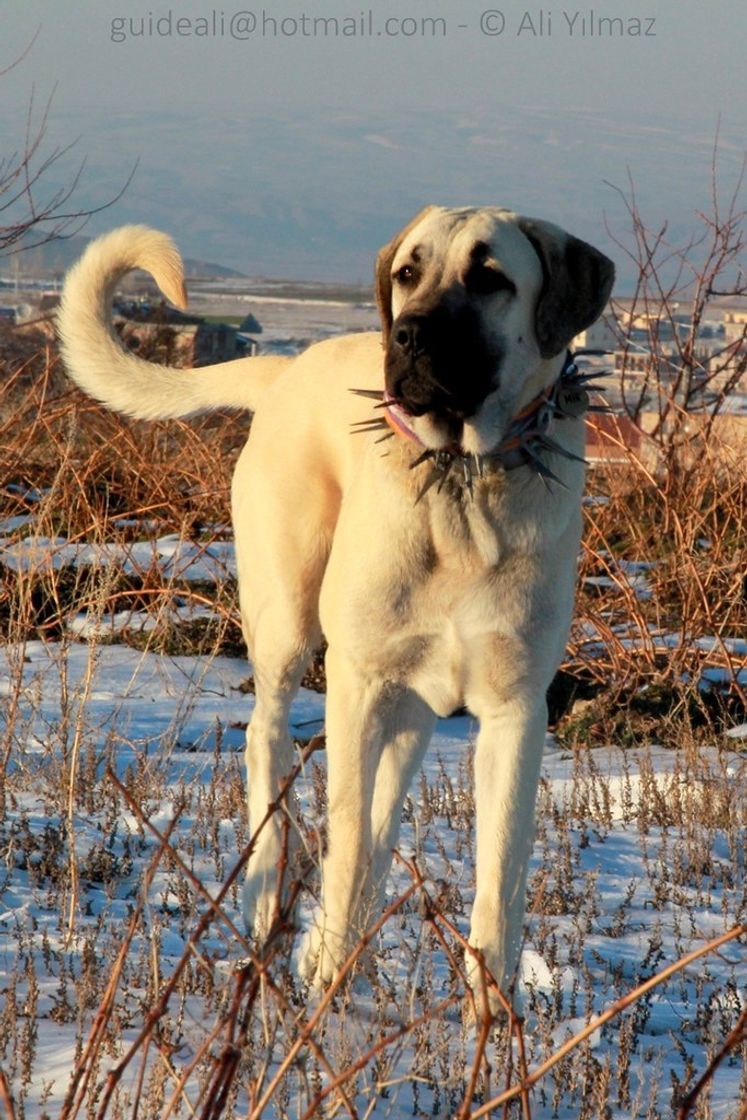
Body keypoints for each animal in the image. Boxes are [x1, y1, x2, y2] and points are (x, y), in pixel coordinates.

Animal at [58, 206, 618, 1012]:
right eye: (408, 272)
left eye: (490, 277)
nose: (406, 336)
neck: (461, 486)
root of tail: (288, 368)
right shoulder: (355, 686)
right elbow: (349, 838)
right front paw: (328, 988)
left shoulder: (515, 711)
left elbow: (499, 874)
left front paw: (492, 1014)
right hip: (290, 621)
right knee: (269, 742)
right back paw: (271, 903)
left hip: (408, 703)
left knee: (384, 813)